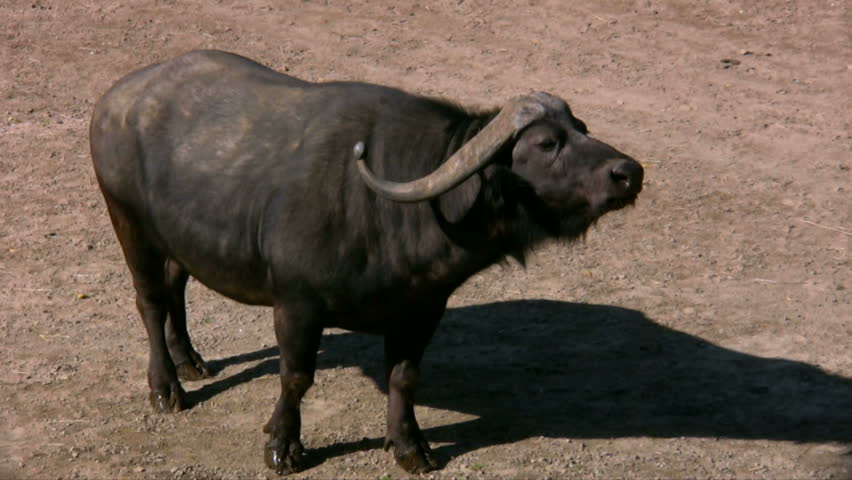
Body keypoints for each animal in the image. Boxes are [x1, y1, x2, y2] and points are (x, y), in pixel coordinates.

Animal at [89, 50, 643, 475]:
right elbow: (296, 376)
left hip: (176, 237)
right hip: (128, 223)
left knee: (176, 286)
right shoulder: (296, 305)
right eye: (547, 143)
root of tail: (116, 99)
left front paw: (410, 446)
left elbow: (404, 378)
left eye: (582, 128)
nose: (628, 172)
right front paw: (282, 445)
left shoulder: (422, 311)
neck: (393, 209)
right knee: (150, 300)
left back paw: (191, 359)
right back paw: (167, 387)